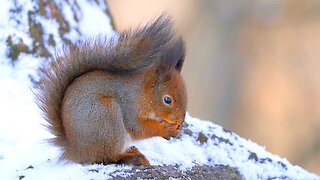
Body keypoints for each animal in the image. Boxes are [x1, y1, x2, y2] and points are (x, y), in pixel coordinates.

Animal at [36, 16, 188, 165]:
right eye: (167, 100)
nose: (180, 121)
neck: (142, 93)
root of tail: (76, 150)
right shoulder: (130, 106)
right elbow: (139, 127)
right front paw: (165, 130)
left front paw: (176, 130)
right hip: (106, 117)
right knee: (108, 156)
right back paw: (131, 157)